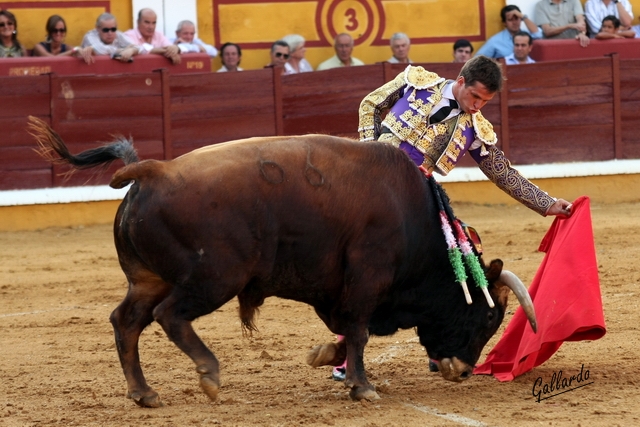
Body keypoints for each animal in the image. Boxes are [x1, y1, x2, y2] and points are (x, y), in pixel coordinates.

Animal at [28, 116, 536, 408]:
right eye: (488, 317)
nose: (463, 370)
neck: (421, 227)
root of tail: (153, 170)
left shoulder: (338, 291)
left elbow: (348, 332)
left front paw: (328, 359)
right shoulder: (367, 277)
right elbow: (359, 331)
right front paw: (362, 387)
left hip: (149, 278)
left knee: (127, 321)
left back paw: (144, 393)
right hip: (215, 277)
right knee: (169, 315)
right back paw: (209, 375)